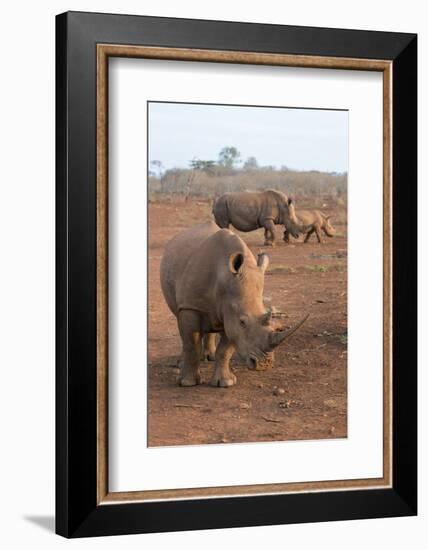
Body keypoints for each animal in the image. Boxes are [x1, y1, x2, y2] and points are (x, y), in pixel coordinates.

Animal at [161, 221, 308, 388]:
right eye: (243, 322)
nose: (264, 365)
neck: (224, 280)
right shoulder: (191, 306)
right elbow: (192, 344)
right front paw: (188, 383)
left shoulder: (230, 313)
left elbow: (225, 349)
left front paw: (226, 383)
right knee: (181, 324)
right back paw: (182, 363)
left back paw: (209, 357)